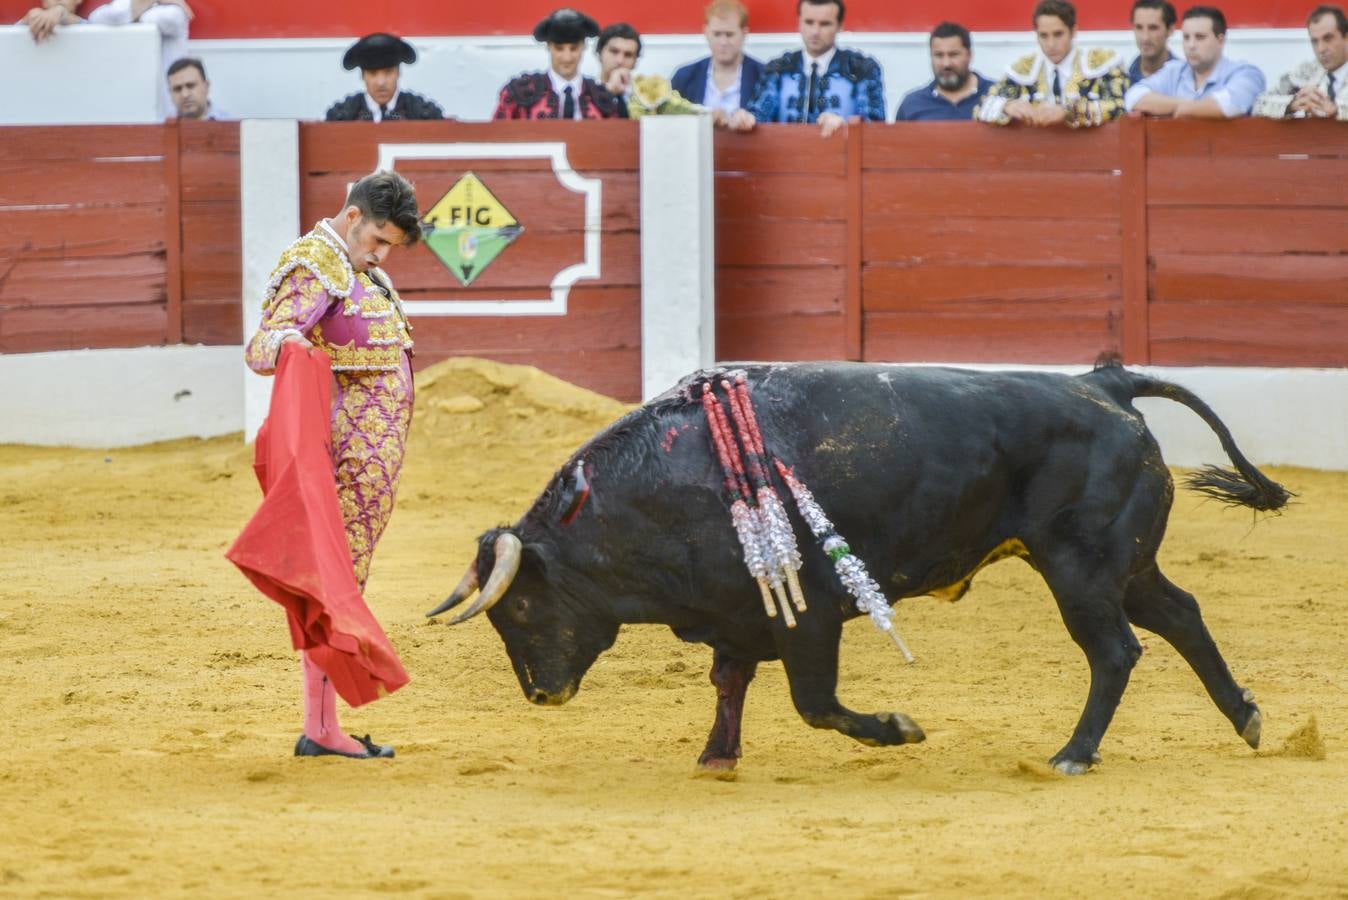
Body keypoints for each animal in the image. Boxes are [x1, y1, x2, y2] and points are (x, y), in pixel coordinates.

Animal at [425, 363, 1288, 776]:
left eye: (520, 609)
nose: (542, 694)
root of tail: (1102, 381)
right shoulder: (738, 612)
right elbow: (730, 682)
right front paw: (716, 756)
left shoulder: (806, 615)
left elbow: (814, 703)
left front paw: (899, 729)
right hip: (1124, 566)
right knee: (1181, 615)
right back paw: (1245, 717)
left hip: (1080, 567)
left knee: (1115, 650)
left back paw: (1072, 753)